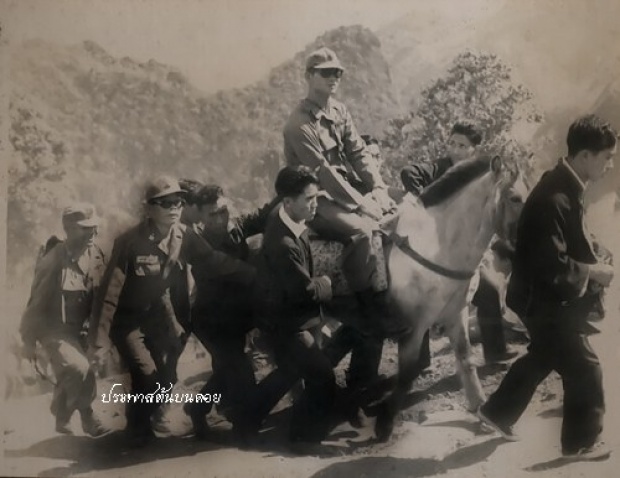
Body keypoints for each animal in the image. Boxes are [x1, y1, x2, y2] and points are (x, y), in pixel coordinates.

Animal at [366, 156, 532, 440]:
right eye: (514, 198)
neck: (437, 249)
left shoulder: (456, 315)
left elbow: (466, 359)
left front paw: (480, 408)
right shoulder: (414, 327)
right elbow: (407, 374)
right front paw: (385, 423)